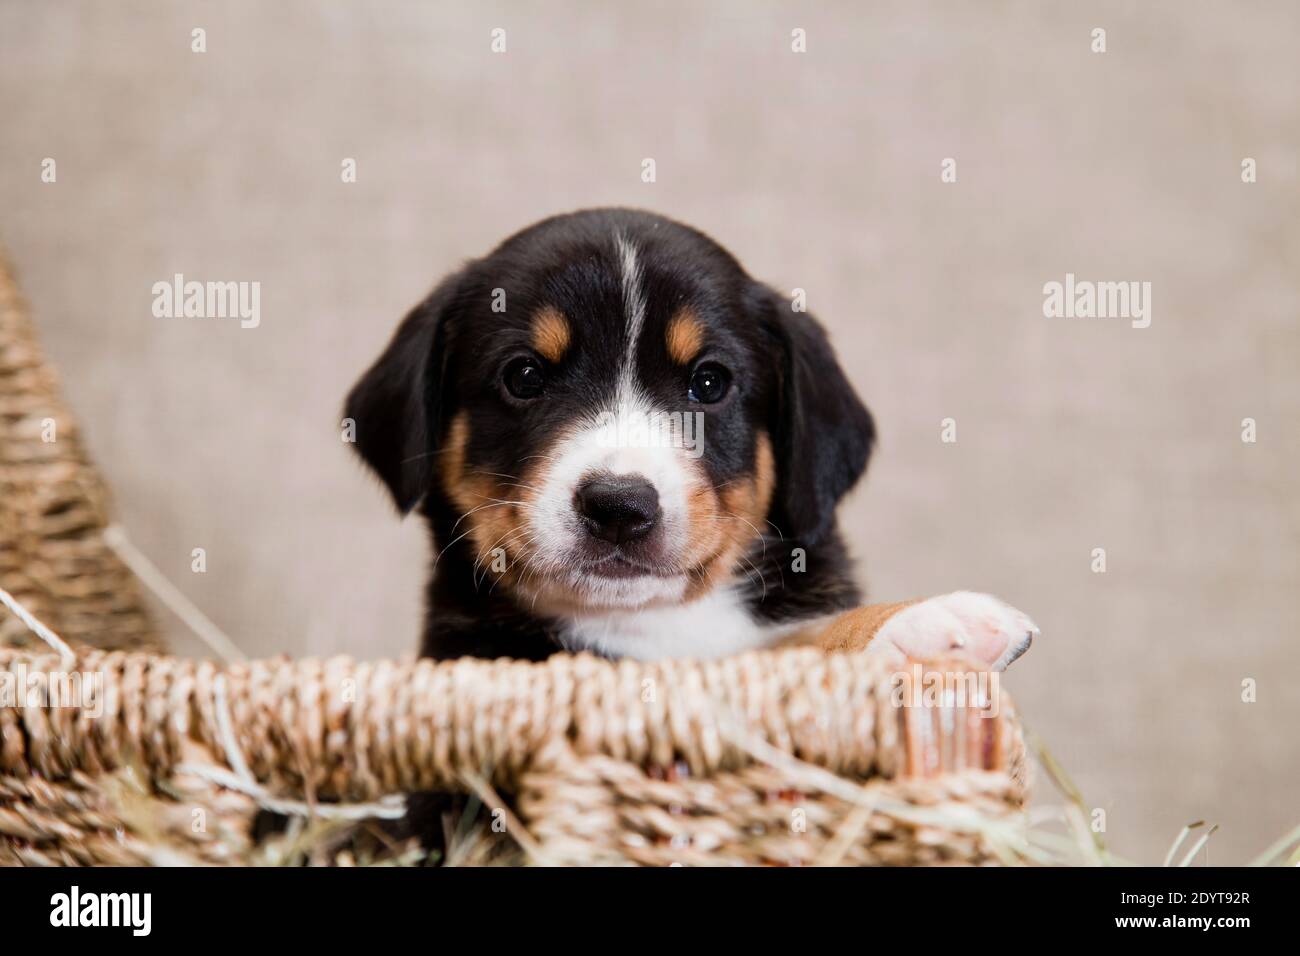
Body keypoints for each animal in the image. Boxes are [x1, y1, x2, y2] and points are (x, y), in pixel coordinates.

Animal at [345, 208, 1034, 671]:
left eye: (709, 382)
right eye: (524, 377)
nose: (618, 505)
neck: (647, 624)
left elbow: (792, 641)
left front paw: (929, 622)